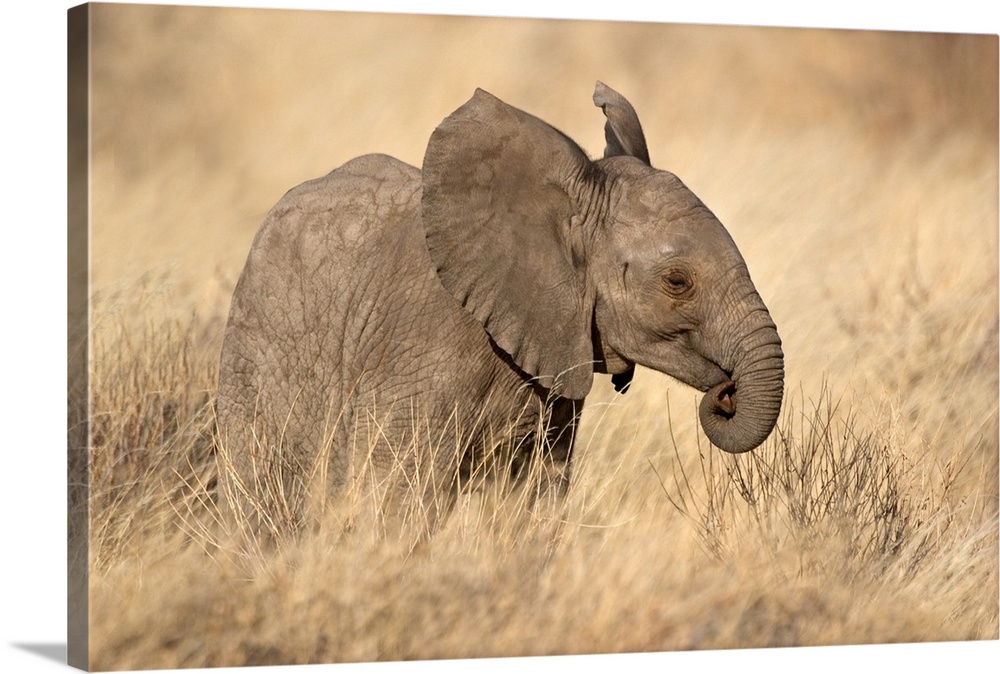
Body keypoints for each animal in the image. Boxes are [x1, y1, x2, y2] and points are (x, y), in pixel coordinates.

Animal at [215, 81, 784, 540]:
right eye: (677, 282)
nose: (727, 393)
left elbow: (533, 498)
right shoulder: (425, 345)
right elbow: (397, 493)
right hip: (256, 361)